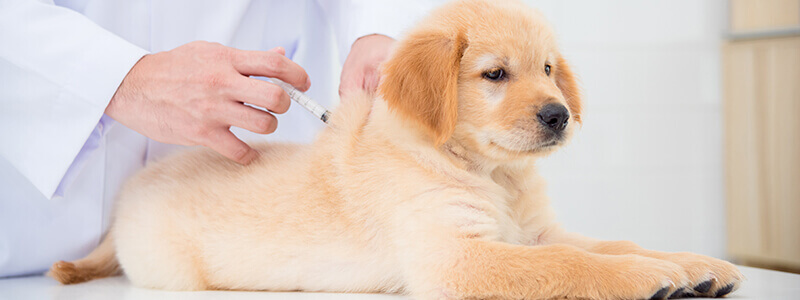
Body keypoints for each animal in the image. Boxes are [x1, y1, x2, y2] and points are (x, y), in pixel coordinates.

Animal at [47, 1, 740, 298]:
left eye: (548, 69)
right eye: (495, 75)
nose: (559, 115)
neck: (493, 174)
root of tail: (127, 198)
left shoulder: (537, 231)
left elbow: (611, 243)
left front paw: (691, 262)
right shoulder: (457, 258)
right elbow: (575, 266)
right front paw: (650, 276)